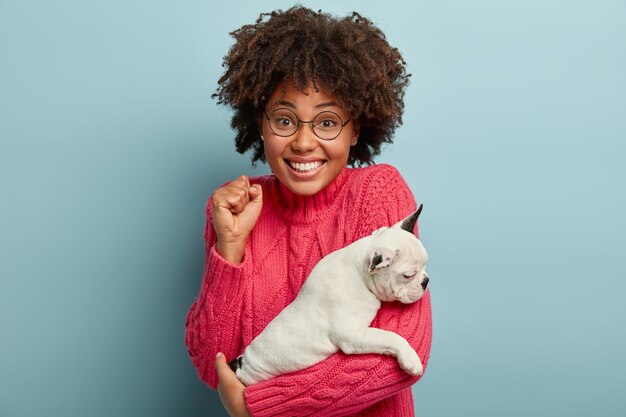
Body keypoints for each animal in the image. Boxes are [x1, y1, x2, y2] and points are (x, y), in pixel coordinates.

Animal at [229, 205, 428, 384]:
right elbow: (390, 336)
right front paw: (410, 358)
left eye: (426, 264)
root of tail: (241, 363)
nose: (425, 281)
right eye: (408, 275)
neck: (360, 272)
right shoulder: (353, 335)